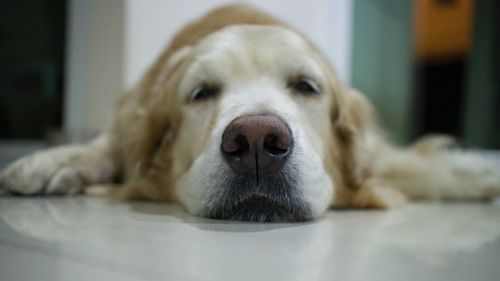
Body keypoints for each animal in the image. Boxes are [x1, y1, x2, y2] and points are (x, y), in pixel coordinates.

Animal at [0, 4, 500, 221]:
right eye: (201, 92)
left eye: (306, 86)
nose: (257, 140)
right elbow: (112, 146)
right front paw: (56, 160)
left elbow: (430, 169)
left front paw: (481, 171)